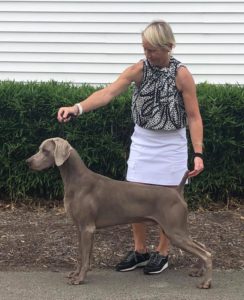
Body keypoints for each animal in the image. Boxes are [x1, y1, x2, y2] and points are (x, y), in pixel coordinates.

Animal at [25, 138, 212, 288]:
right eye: (40, 148)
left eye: (45, 151)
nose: (28, 162)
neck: (77, 180)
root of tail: (177, 191)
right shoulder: (80, 228)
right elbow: (81, 255)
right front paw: (76, 274)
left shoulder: (87, 228)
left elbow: (85, 257)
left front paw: (79, 279)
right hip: (174, 229)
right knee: (203, 246)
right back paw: (198, 272)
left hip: (174, 231)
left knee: (206, 253)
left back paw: (206, 282)